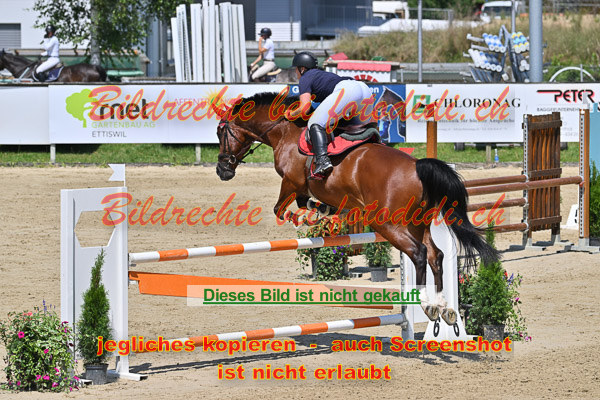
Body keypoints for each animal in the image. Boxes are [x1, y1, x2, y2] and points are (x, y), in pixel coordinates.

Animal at [214, 92, 499, 325]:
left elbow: (280, 209)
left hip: (386, 223)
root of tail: (417, 166)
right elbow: (304, 203)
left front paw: (304, 218)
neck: (285, 131)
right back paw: (443, 307)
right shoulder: (303, 187)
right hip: (418, 223)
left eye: (220, 132)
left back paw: (426, 303)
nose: (222, 171)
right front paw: (320, 211)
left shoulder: (292, 182)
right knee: (435, 255)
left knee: (418, 253)